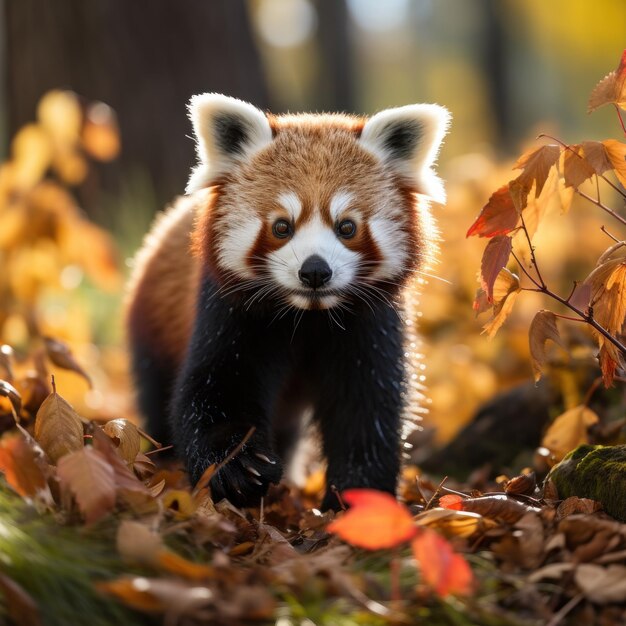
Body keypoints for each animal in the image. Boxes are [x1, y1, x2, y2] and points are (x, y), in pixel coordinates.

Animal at [127, 95, 448, 510]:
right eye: (282, 227)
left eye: (347, 227)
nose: (315, 271)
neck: (307, 317)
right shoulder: (229, 314)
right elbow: (213, 389)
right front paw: (238, 468)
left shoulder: (370, 326)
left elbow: (366, 409)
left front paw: (358, 494)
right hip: (152, 330)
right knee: (156, 397)